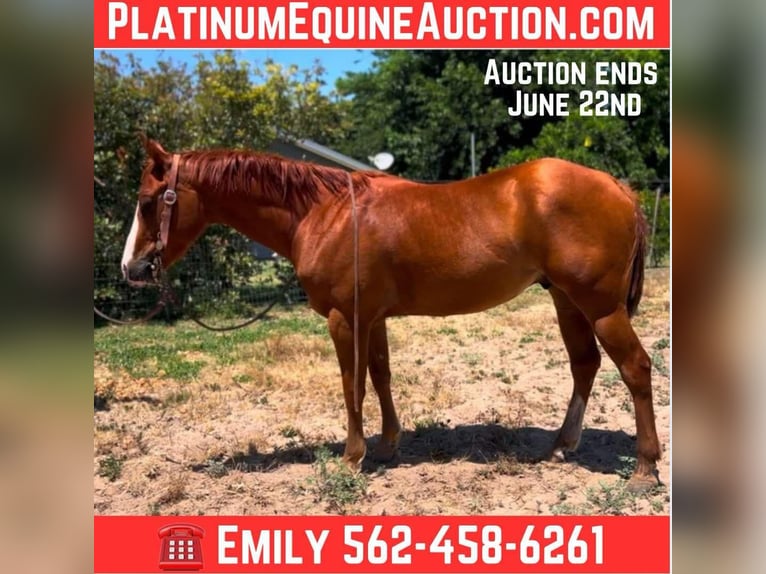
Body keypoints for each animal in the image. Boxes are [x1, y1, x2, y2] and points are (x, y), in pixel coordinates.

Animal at [121, 135, 661, 492]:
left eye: (148, 203)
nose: (131, 268)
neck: (325, 212)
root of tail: (618, 187)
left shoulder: (344, 319)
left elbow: (352, 385)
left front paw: (352, 456)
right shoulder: (373, 318)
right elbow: (380, 377)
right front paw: (387, 445)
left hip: (600, 306)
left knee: (635, 368)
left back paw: (644, 468)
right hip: (566, 300)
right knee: (585, 365)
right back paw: (560, 447)